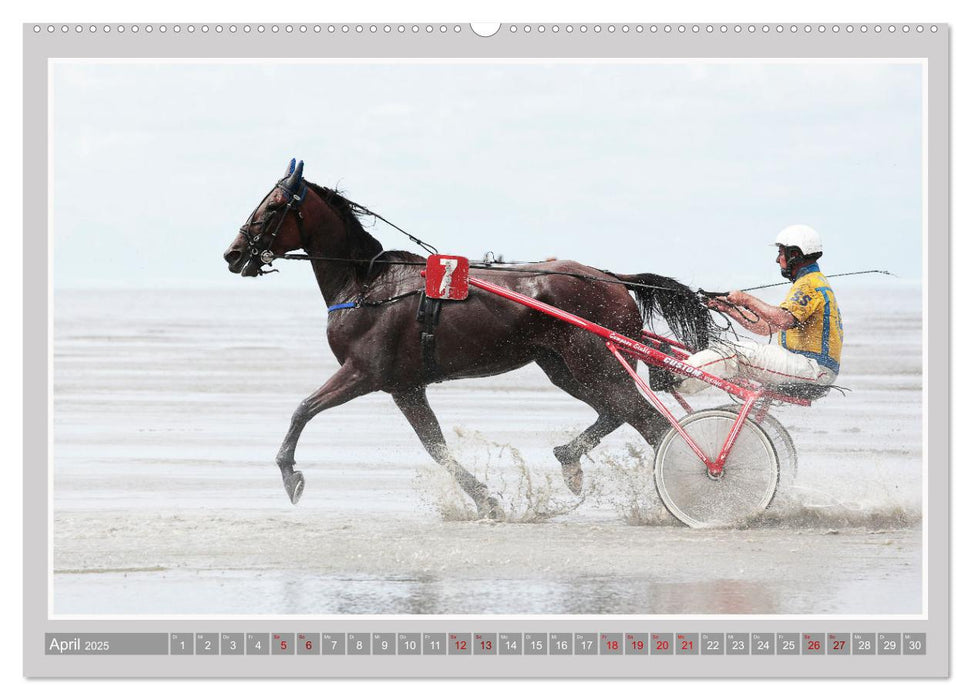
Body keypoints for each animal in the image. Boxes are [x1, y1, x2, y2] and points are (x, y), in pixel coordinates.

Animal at [226, 161, 712, 516]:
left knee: (644, 418)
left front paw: (290, 475)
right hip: (563, 367)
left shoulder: (364, 372)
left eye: (273, 207)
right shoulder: (405, 386)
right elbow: (436, 447)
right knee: (618, 412)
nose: (233, 253)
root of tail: (610, 278)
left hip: (593, 362)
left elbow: (303, 409)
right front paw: (487, 499)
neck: (367, 285)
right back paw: (571, 461)